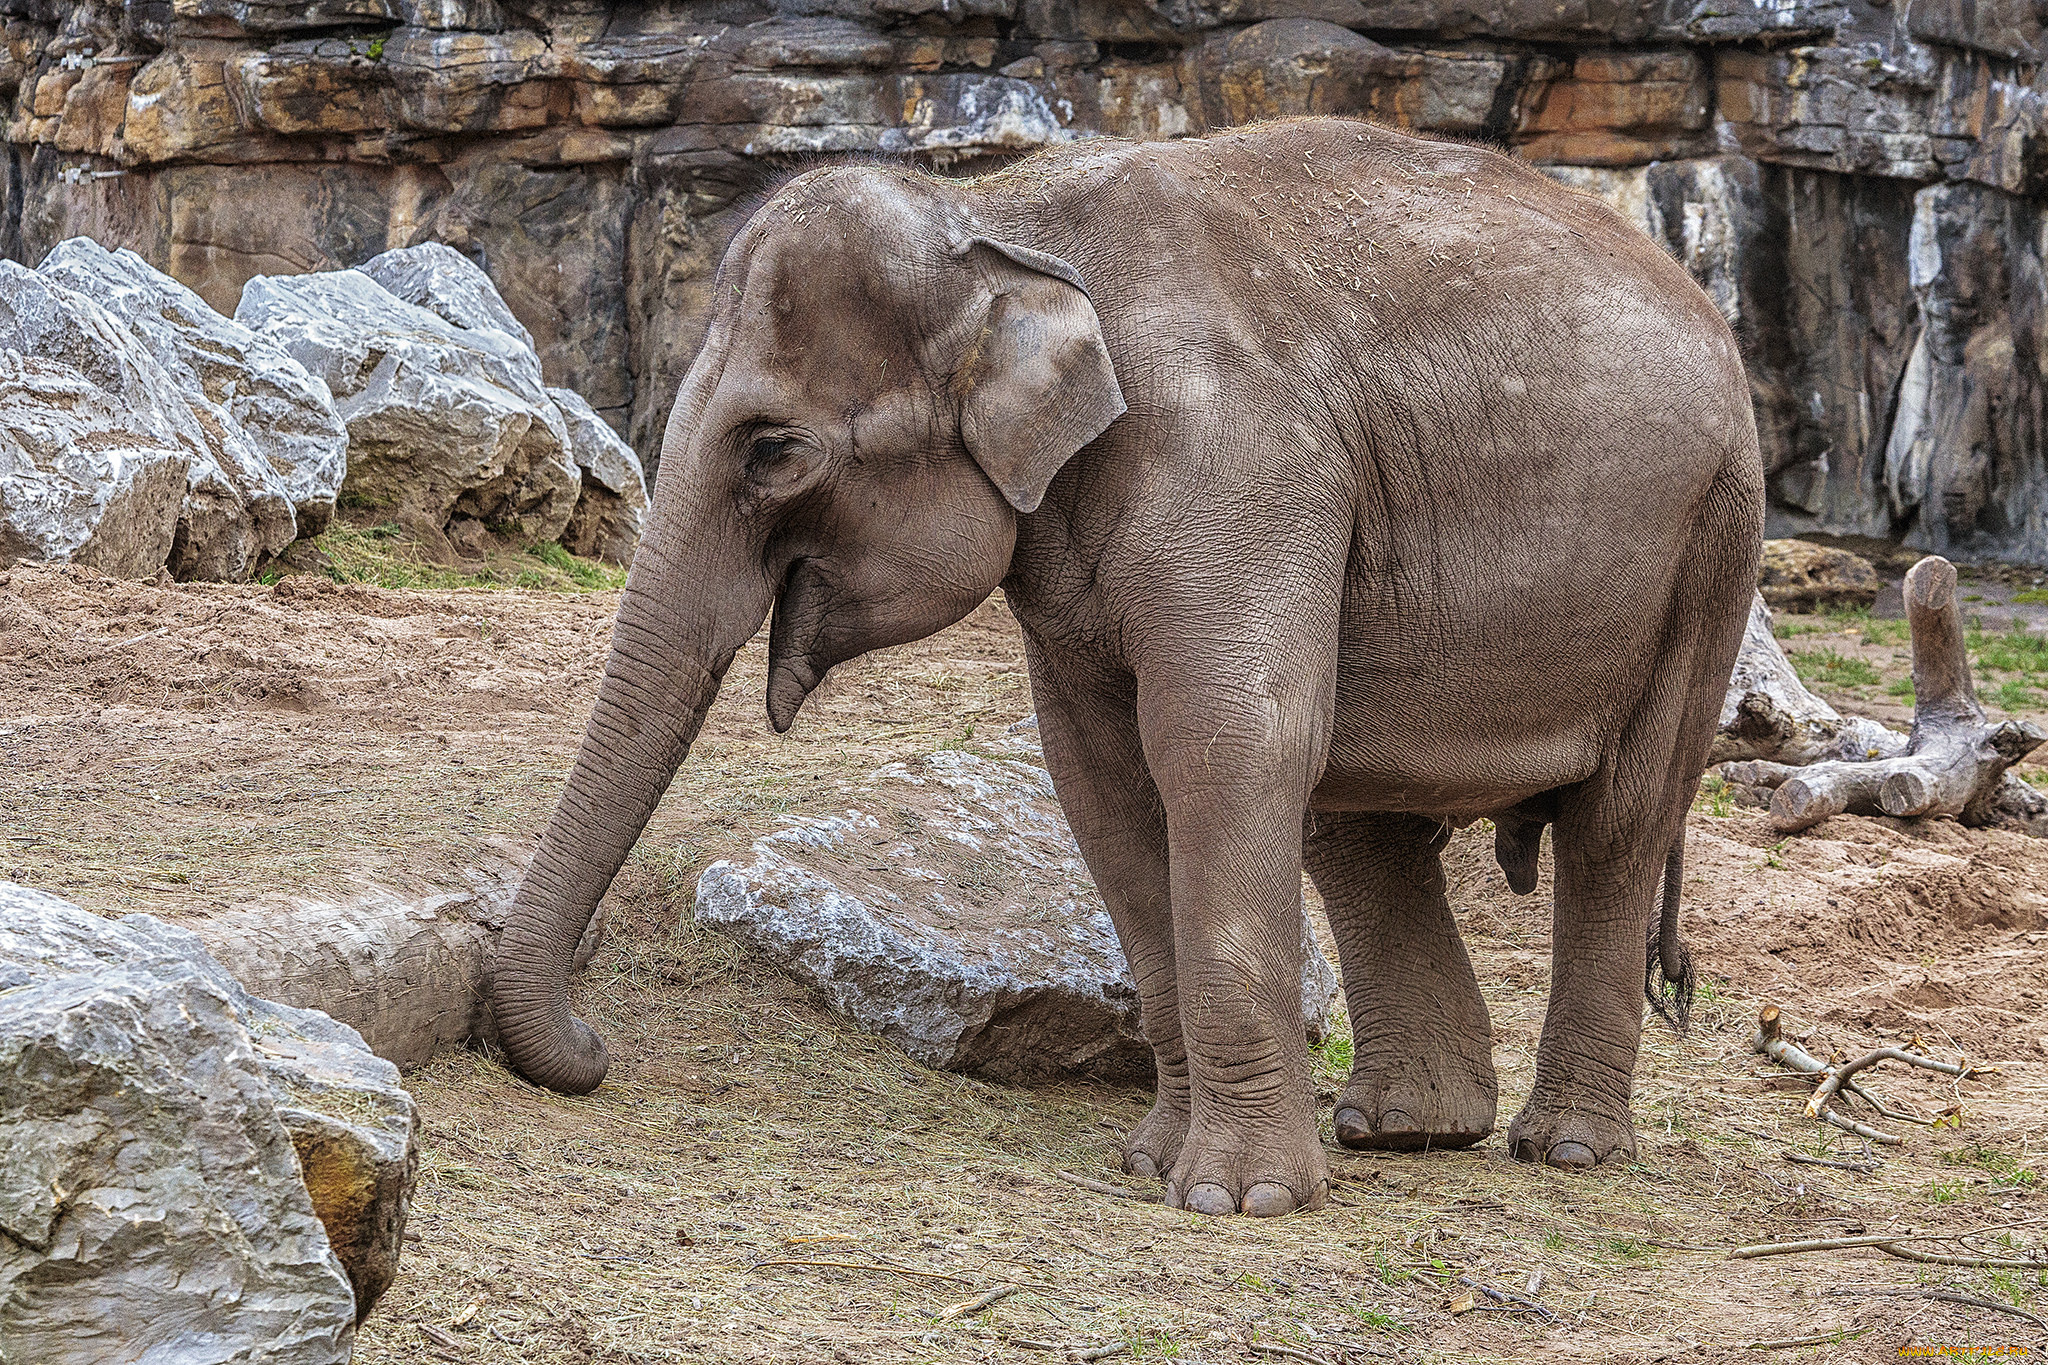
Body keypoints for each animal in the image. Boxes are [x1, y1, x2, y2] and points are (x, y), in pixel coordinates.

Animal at [491, 117, 1761, 1219]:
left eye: (770, 451)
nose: (595, 1048)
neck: (1000, 213)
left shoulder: (1237, 459)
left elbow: (1219, 744)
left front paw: (1232, 1201)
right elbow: (1098, 778)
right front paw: (1151, 1160)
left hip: (1711, 546)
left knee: (1615, 823)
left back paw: (1566, 1150)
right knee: (1357, 826)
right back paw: (1401, 1130)